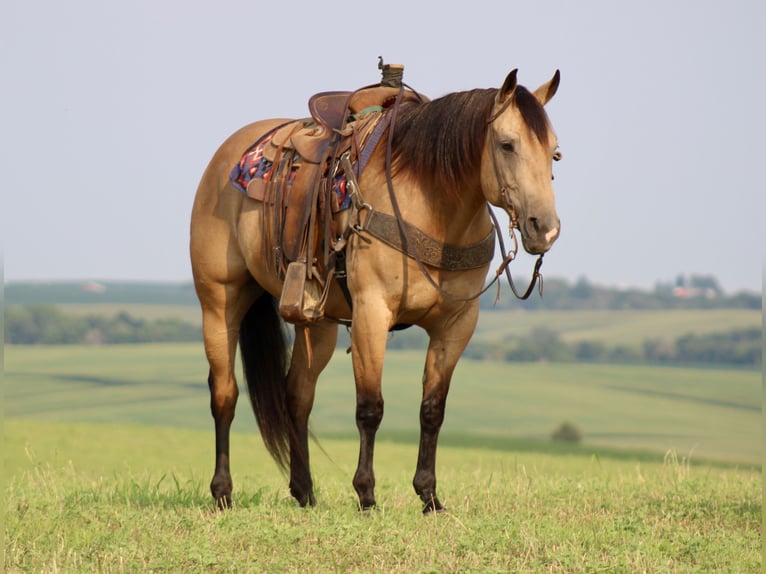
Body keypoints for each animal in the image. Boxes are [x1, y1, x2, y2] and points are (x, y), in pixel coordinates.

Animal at [190, 67, 562, 513]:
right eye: (507, 144)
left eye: (555, 153)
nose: (545, 228)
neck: (433, 207)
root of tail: (226, 157)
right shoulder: (372, 313)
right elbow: (370, 408)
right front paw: (366, 493)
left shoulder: (455, 325)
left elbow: (432, 410)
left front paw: (429, 495)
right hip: (219, 302)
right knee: (224, 394)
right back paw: (222, 492)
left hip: (317, 324)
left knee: (297, 396)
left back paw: (305, 491)